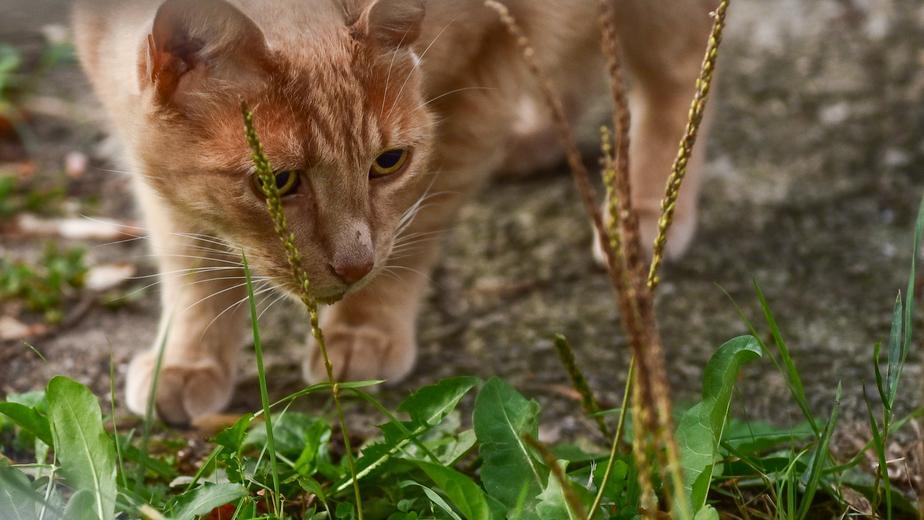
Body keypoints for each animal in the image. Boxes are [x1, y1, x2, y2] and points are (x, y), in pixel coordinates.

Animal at [74, 0, 716, 422]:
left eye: (388, 162)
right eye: (277, 181)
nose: (354, 265)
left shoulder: (480, 81)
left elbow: (417, 230)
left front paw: (367, 326)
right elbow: (192, 258)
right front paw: (187, 359)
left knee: (679, 83)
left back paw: (643, 213)